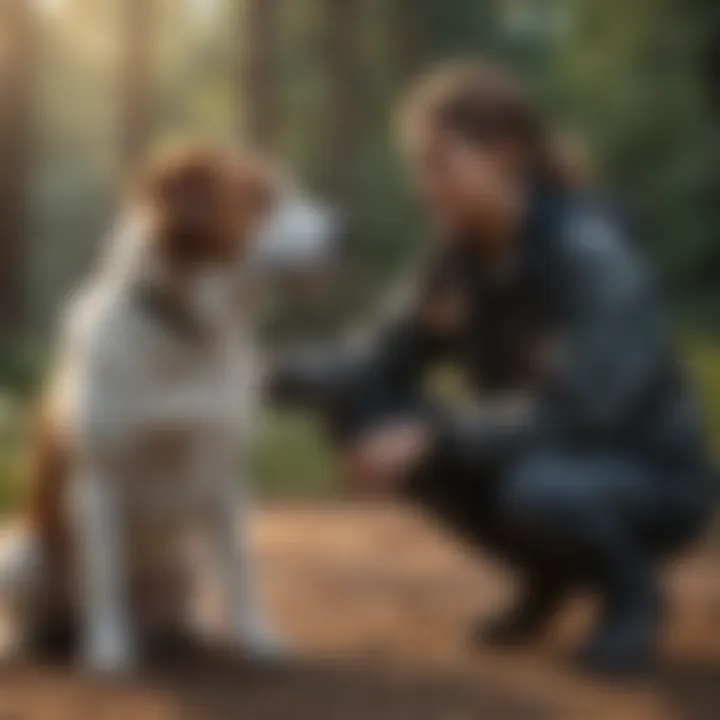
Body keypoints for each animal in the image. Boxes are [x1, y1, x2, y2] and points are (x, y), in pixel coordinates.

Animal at [0, 142, 340, 676]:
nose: (342, 233)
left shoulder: (224, 478)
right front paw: (110, 651)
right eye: (261, 197)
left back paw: (185, 634)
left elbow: (242, 570)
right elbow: (106, 576)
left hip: (182, 568)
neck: (183, 329)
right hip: (19, 551)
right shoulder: (100, 480)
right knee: (42, 616)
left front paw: (258, 640)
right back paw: (32, 642)